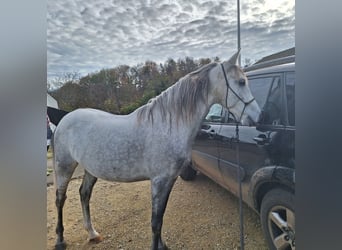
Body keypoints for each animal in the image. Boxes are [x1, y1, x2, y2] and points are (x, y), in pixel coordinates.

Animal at [51, 51, 260, 250]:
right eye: (241, 82)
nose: (257, 116)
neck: (168, 125)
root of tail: (64, 119)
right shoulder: (159, 181)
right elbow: (155, 222)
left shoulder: (169, 180)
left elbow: (161, 217)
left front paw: (162, 245)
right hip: (64, 166)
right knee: (60, 199)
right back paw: (60, 240)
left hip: (90, 169)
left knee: (84, 194)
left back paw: (92, 233)